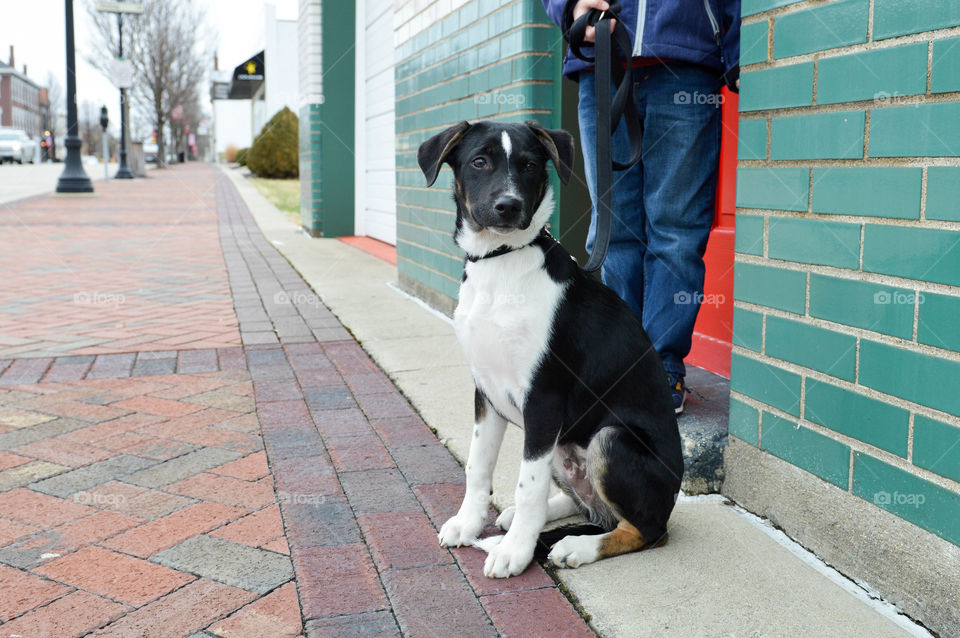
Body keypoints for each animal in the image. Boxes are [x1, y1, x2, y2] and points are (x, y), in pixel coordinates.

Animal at [418, 120, 684, 580]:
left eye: (529, 165)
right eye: (479, 161)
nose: (508, 206)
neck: (500, 261)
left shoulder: (543, 398)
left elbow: (528, 485)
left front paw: (515, 552)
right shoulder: (485, 390)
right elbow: (478, 464)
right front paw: (469, 524)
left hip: (608, 439)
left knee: (645, 529)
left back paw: (577, 546)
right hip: (564, 444)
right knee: (592, 508)